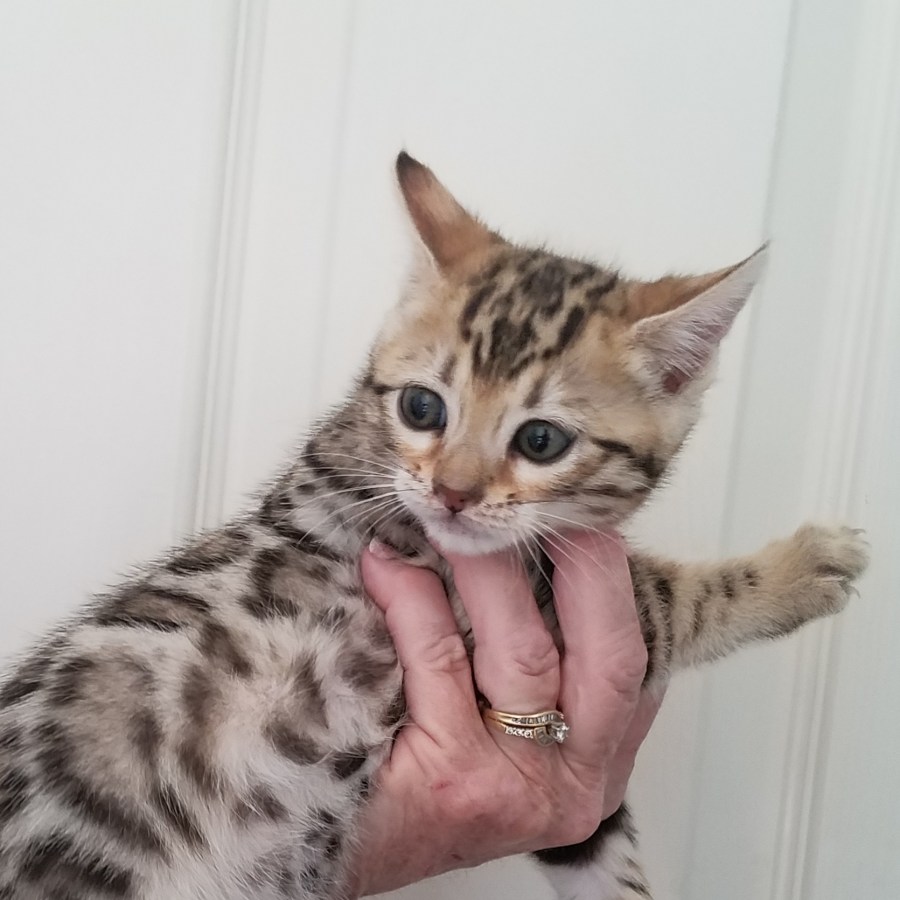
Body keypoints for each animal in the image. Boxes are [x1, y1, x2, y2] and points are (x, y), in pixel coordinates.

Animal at [0, 152, 867, 900]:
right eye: (423, 407)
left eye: (540, 440)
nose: (451, 493)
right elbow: (669, 595)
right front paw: (802, 568)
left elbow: (595, 843)